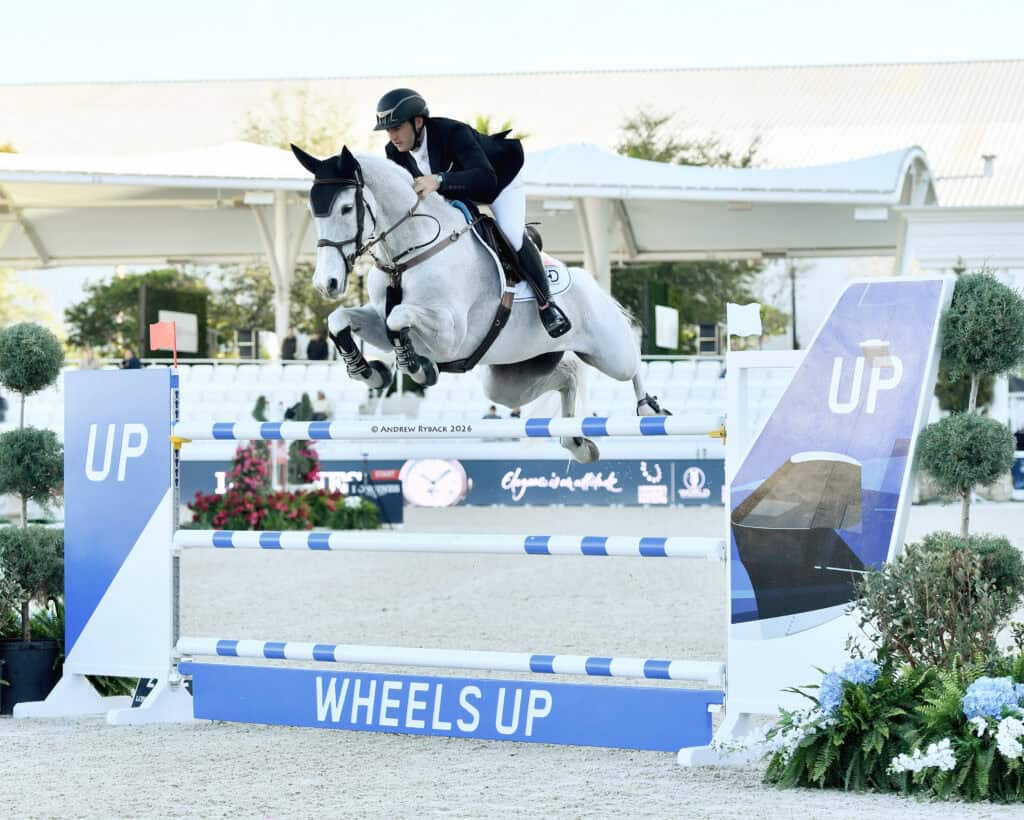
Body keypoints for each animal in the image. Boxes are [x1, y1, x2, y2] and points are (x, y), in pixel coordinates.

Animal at [291, 144, 669, 463]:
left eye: (345, 208)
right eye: (312, 210)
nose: (326, 283)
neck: (410, 254)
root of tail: (589, 280)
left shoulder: (450, 334)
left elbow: (398, 318)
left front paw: (417, 368)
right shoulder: (381, 320)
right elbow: (342, 320)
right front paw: (369, 372)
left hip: (609, 352)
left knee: (632, 365)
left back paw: (648, 409)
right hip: (509, 380)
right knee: (567, 377)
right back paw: (576, 443)